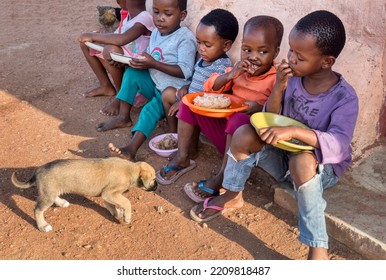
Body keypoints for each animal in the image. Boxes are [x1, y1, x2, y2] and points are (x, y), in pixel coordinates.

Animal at [12, 158, 157, 232]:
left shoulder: (107, 195)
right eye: (154, 179)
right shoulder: (109, 192)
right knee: (37, 209)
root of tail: (38, 170)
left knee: (54, 198)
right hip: (47, 196)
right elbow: (127, 202)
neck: (132, 169)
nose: (157, 186)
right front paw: (127, 217)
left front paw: (117, 212)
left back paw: (62, 202)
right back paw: (43, 226)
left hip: (51, 192)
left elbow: (110, 204)